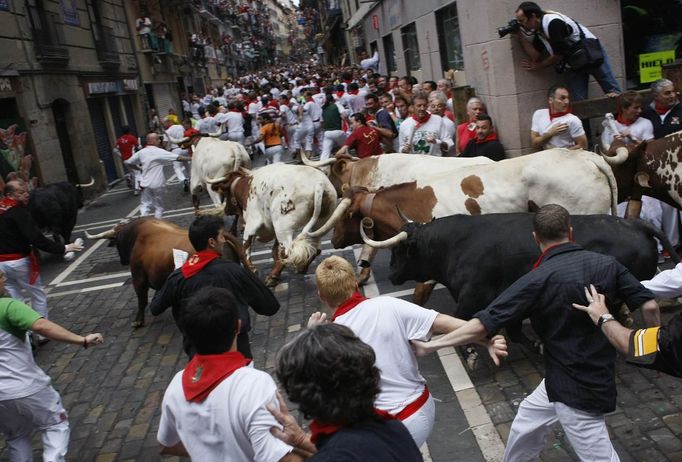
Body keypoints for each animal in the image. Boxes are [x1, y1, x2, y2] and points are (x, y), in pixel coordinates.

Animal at [84, 218, 244, 326]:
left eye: (117, 242)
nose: (123, 261)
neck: (137, 235)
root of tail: (222, 235)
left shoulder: (138, 277)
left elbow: (142, 300)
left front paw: (138, 321)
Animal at [388, 215, 676, 348]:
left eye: (399, 250)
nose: (390, 274)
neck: (454, 245)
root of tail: (635, 223)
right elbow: (514, 331)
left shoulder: (474, 297)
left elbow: (464, 322)